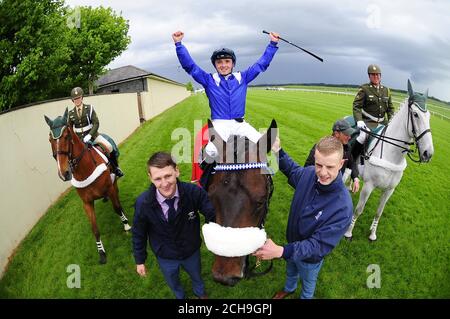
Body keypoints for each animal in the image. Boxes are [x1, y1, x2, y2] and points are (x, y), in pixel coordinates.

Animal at [44, 110, 131, 264]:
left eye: (66, 136)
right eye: (50, 139)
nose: (64, 173)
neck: (85, 170)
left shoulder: (109, 188)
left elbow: (117, 208)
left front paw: (126, 224)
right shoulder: (87, 203)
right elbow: (94, 228)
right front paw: (101, 252)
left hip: (114, 181)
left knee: (117, 195)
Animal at [344, 80, 432, 242]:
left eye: (428, 115)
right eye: (415, 114)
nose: (428, 153)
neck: (391, 154)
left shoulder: (389, 190)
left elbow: (379, 211)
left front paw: (372, 234)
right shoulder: (369, 186)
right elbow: (359, 210)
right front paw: (348, 232)